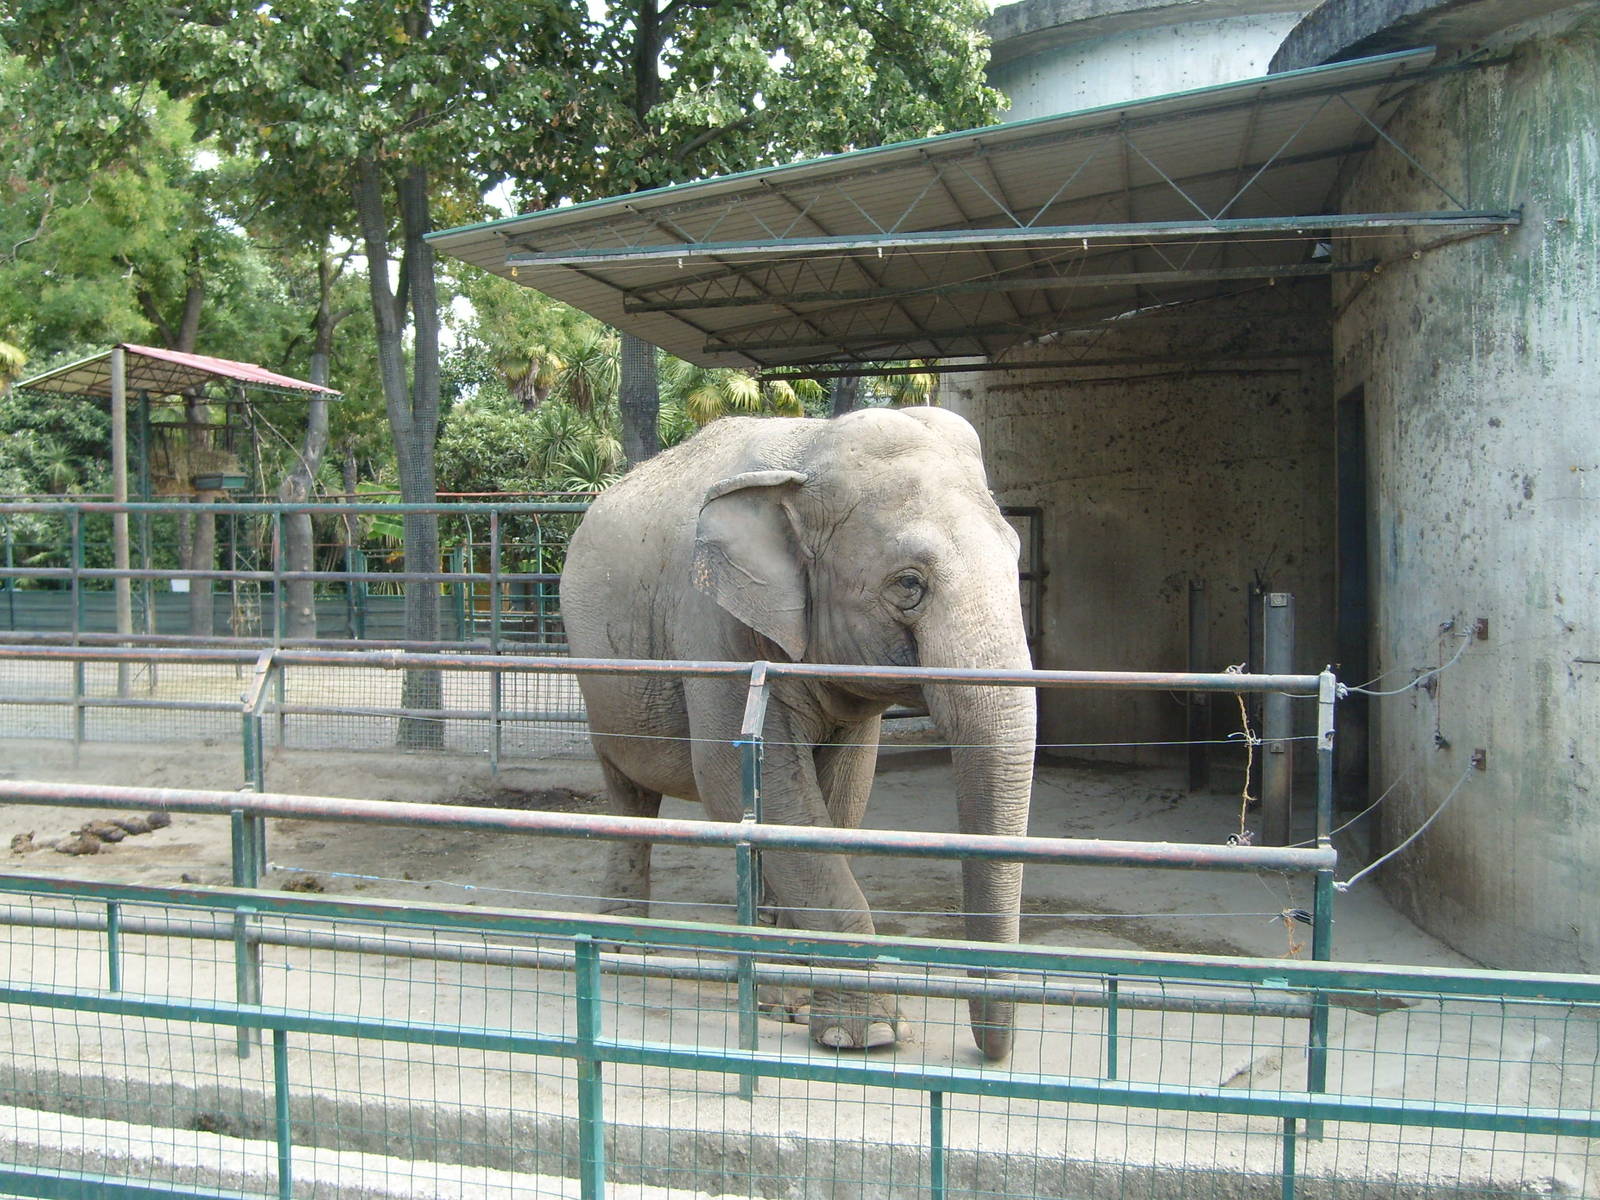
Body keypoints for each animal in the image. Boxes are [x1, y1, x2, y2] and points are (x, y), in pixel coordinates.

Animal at [560, 406, 1036, 1060]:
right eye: (908, 584)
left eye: (1016, 559)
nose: (987, 1052)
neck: (808, 448)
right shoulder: (712, 624)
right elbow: (737, 781)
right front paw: (868, 1036)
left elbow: (839, 795)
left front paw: (797, 1006)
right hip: (600, 680)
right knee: (630, 795)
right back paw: (623, 953)